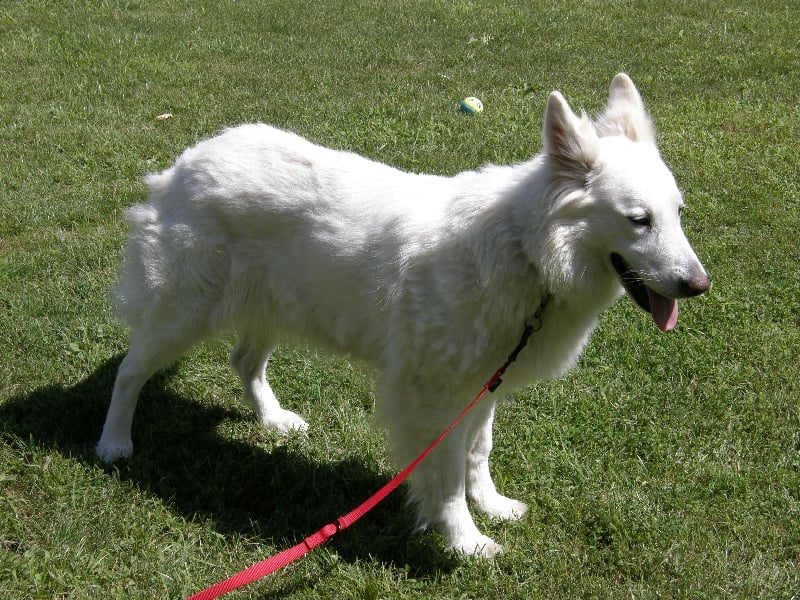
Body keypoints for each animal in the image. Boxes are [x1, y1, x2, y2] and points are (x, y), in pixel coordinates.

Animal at [97, 74, 708, 556]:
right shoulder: (433, 400)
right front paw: (465, 542)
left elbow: (479, 452)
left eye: (678, 213)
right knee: (130, 370)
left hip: (271, 307)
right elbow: (447, 481)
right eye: (639, 220)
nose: (699, 286)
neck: (529, 251)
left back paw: (272, 419)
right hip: (183, 314)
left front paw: (491, 506)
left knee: (244, 360)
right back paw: (114, 444)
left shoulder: (483, 385)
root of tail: (189, 160)